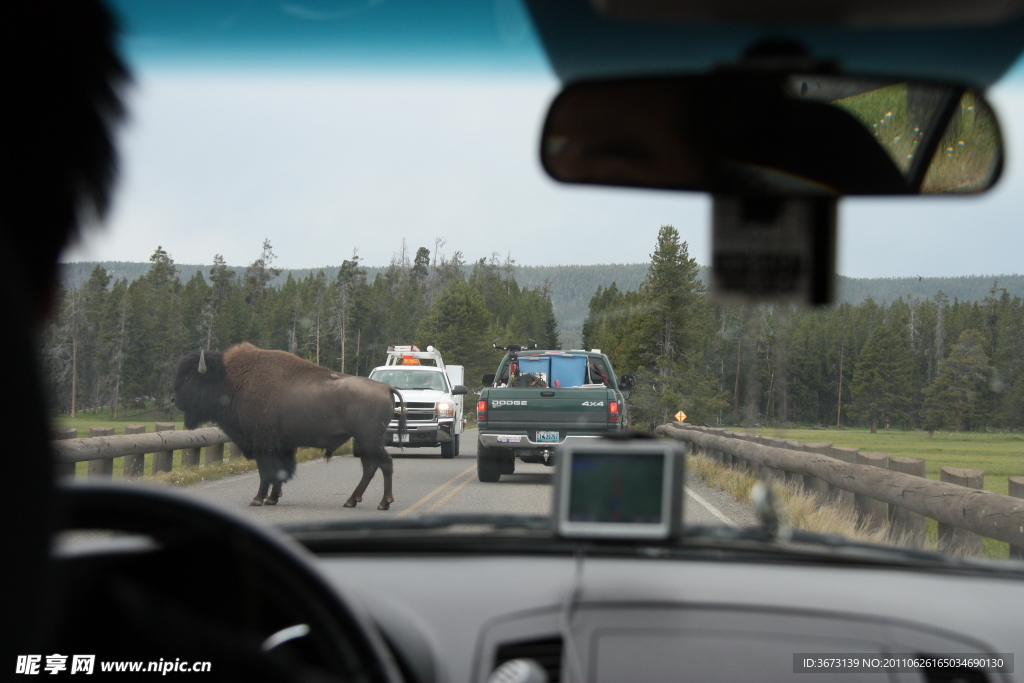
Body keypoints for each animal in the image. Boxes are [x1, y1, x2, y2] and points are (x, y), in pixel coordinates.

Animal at [172, 342, 403, 507]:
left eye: (191, 379)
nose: (175, 400)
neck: (232, 381)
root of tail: (386, 388)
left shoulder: (262, 442)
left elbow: (266, 471)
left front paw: (258, 499)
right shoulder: (282, 445)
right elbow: (280, 471)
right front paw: (273, 498)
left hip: (369, 439)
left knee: (384, 464)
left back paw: (383, 502)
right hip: (365, 441)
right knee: (371, 467)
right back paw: (352, 501)